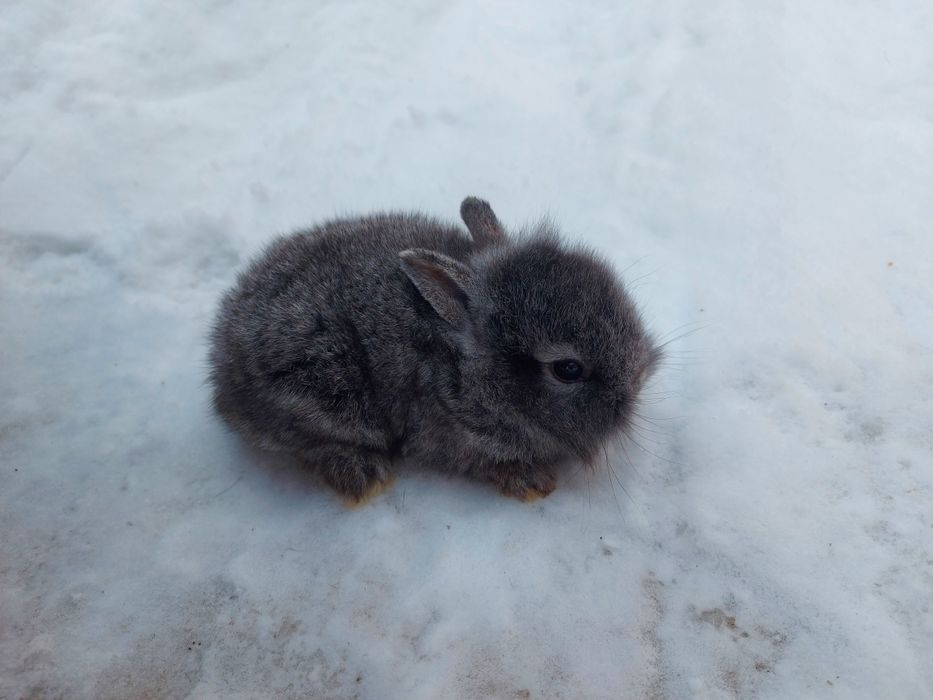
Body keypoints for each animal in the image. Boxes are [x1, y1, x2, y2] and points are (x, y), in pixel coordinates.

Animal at [209, 197, 660, 503]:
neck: (465, 364)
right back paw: (363, 475)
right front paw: (531, 482)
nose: (638, 378)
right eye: (568, 369)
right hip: (323, 389)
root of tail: (222, 364)